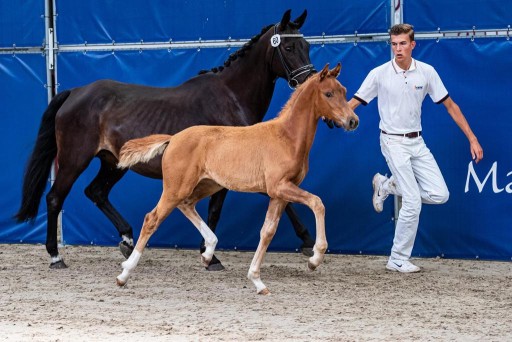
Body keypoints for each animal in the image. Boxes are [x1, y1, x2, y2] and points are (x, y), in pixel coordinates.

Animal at [16, 8, 316, 270]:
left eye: (307, 46)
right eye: (288, 48)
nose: (310, 83)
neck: (231, 97)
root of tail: (76, 91)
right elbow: (227, 208)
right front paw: (306, 242)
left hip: (113, 162)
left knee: (96, 192)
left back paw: (127, 240)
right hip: (74, 159)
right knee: (55, 198)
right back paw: (56, 256)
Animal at [116, 64, 358, 294]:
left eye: (344, 91)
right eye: (328, 93)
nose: (352, 121)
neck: (286, 137)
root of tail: (173, 138)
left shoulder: (278, 194)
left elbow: (267, 231)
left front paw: (257, 281)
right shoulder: (280, 187)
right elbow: (317, 203)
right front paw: (315, 258)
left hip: (207, 185)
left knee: (187, 205)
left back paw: (209, 252)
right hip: (176, 187)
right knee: (152, 219)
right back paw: (124, 274)